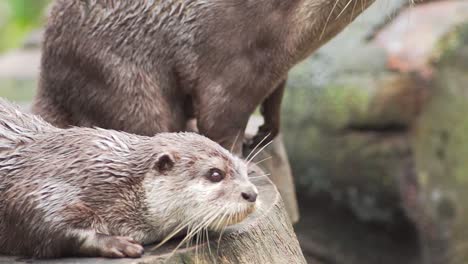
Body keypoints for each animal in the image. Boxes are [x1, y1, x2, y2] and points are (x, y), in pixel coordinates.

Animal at [0, 98, 256, 258]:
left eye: (244, 169)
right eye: (215, 174)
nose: (251, 194)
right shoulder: (43, 185)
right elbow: (36, 220)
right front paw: (116, 243)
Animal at [33, 0, 374, 155]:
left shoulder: (278, 71)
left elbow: (274, 107)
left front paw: (262, 135)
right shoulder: (229, 63)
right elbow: (219, 122)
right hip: (118, 78)